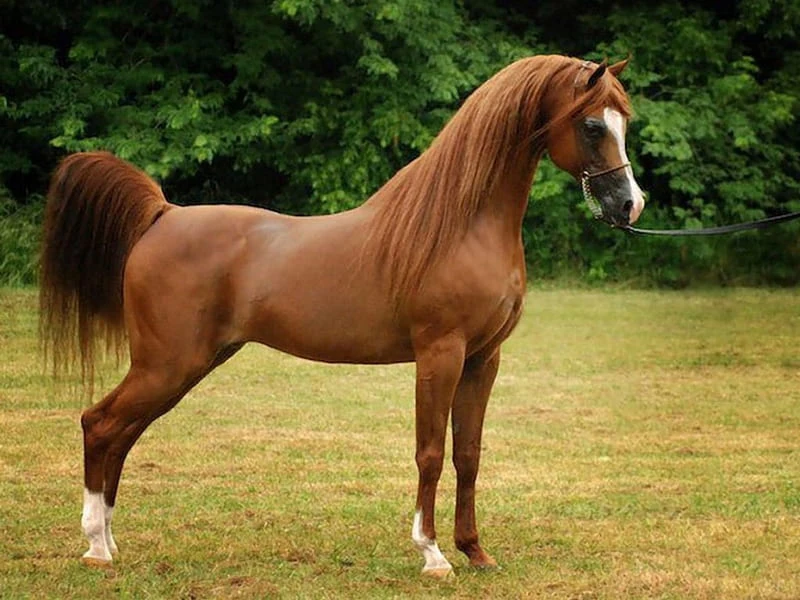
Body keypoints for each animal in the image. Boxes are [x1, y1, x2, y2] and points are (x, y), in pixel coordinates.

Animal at [40, 55, 648, 576]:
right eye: (592, 125)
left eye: (625, 122)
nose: (630, 205)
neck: (461, 224)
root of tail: (161, 214)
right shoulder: (440, 354)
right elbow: (431, 453)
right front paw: (433, 555)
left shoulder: (483, 359)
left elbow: (468, 455)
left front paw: (475, 551)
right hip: (167, 364)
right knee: (100, 424)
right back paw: (97, 547)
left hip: (186, 366)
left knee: (122, 434)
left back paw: (108, 541)